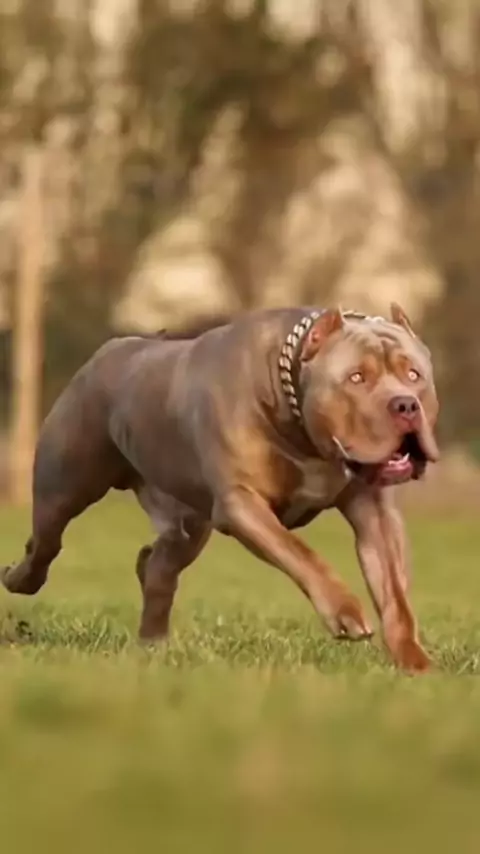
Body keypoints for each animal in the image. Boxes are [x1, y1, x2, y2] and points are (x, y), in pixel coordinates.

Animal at [2, 305, 439, 671]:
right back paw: (18, 579)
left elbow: (395, 595)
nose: (405, 405)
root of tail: (110, 350)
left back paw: (153, 644)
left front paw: (415, 664)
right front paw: (345, 610)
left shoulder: (375, 513)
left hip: (189, 523)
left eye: (413, 375)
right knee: (44, 545)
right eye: (356, 378)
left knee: (157, 565)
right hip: (63, 488)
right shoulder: (241, 504)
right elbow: (302, 554)